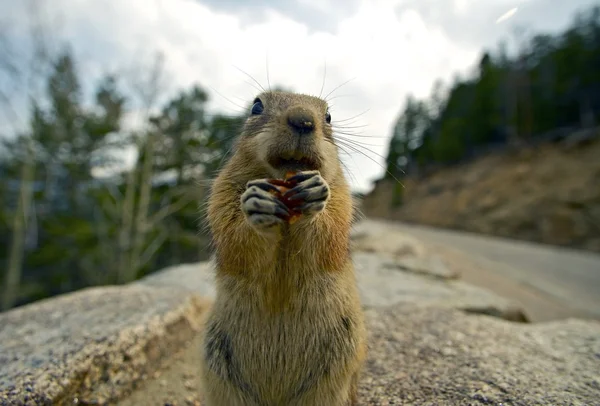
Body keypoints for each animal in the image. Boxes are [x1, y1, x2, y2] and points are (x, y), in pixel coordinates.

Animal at [200, 90, 366, 404]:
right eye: (256, 106)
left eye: (328, 116)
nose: (303, 120)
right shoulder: (221, 193)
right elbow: (233, 234)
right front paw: (256, 205)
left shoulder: (342, 198)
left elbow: (330, 231)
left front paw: (314, 194)